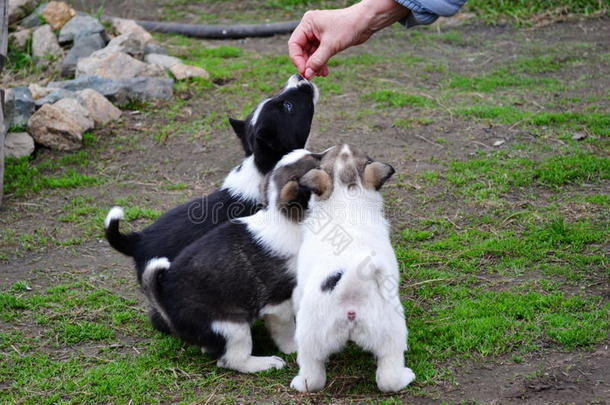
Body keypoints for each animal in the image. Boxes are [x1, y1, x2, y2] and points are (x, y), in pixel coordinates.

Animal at [140, 148, 330, 372]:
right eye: (315, 164)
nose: (332, 151)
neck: (287, 220)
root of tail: (164, 301)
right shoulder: (279, 303)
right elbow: (286, 330)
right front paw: (292, 348)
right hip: (233, 327)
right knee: (232, 360)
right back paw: (267, 362)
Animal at [288, 143, 414, 392]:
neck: (347, 197)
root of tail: (350, 288)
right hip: (390, 333)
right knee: (388, 378)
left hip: (310, 338)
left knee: (312, 378)